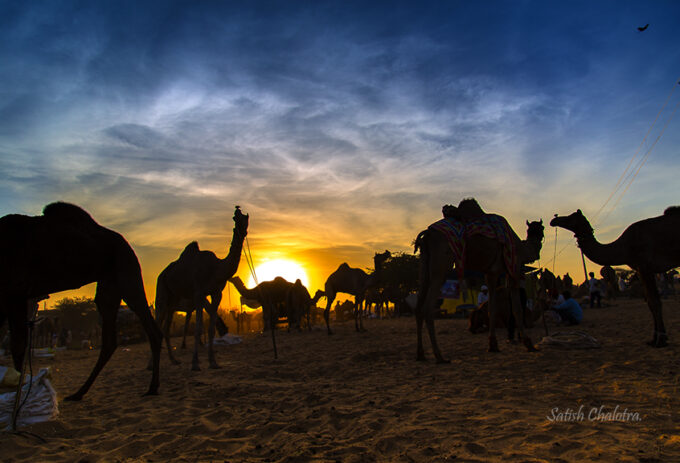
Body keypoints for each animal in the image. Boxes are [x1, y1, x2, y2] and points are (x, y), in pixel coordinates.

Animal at [0, 203, 162, 402]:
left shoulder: (15, 292)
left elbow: (17, 345)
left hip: (127, 272)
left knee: (150, 329)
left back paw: (152, 387)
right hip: (108, 287)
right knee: (109, 340)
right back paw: (79, 392)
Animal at [155, 207, 250, 370]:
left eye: (246, 219)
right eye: (235, 218)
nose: (242, 231)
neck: (216, 269)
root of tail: (163, 273)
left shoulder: (216, 293)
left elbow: (211, 328)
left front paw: (213, 362)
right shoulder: (198, 293)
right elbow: (198, 327)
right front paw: (195, 363)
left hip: (172, 302)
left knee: (165, 329)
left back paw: (173, 360)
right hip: (161, 292)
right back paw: (151, 365)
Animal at [414, 199, 540, 362]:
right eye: (541, 227)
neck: (521, 247)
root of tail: (427, 234)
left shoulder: (491, 273)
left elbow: (492, 308)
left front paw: (493, 345)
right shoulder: (513, 268)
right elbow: (517, 309)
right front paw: (529, 344)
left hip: (424, 265)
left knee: (418, 307)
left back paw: (420, 354)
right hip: (441, 265)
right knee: (428, 308)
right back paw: (440, 356)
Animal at [548, 208, 680, 348]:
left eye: (571, 217)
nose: (554, 220)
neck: (624, 247)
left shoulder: (644, 266)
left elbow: (654, 302)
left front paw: (660, 340)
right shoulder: (643, 269)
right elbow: (650, 302)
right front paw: (654, 339)